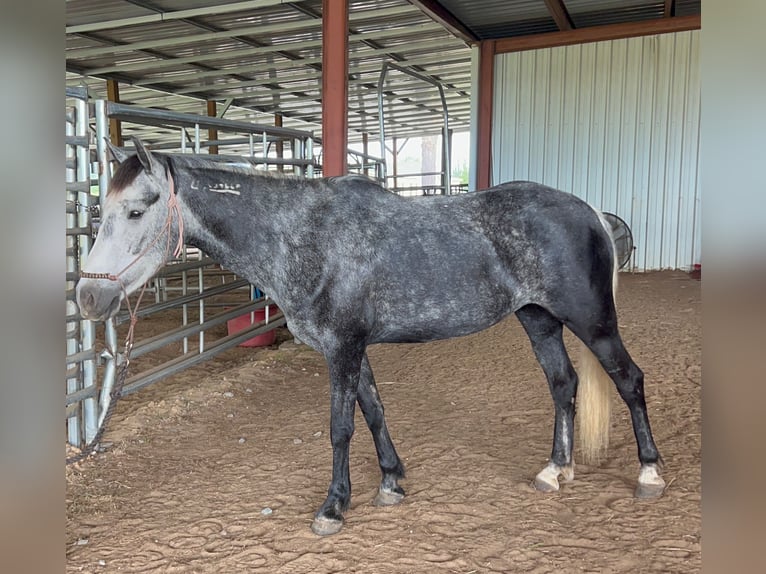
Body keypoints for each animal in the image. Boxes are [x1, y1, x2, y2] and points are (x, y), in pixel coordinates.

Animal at [76, 137, 665, 536]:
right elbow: (375, 410)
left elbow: (341, 427)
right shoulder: (352, 348)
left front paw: (334, 507)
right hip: (539, 319)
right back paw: (555, 471)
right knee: (563, 384)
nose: (88, 296)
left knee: (629, 380)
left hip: (592, 321)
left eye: (136, 210)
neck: (305, 237)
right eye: (100, 211)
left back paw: (649, 474)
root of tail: (589, 211)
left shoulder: (341, 348)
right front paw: (390, 482)